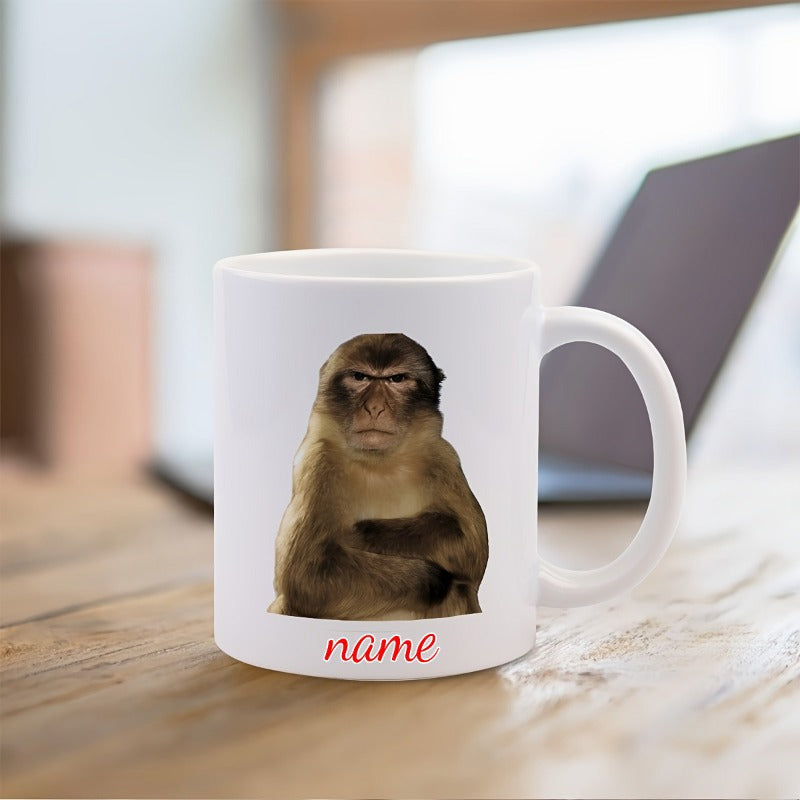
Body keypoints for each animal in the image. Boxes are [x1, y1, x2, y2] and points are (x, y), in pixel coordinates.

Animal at [267, 333, 489, 621]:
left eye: (397, 379)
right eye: (360, 377)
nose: (374, 407)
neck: (379, 463)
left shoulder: (443, 457)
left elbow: (470, 544)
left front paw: (364, 533)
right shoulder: (317, 460)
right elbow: (307, 575)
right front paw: (432, 578)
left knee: (460, 587)